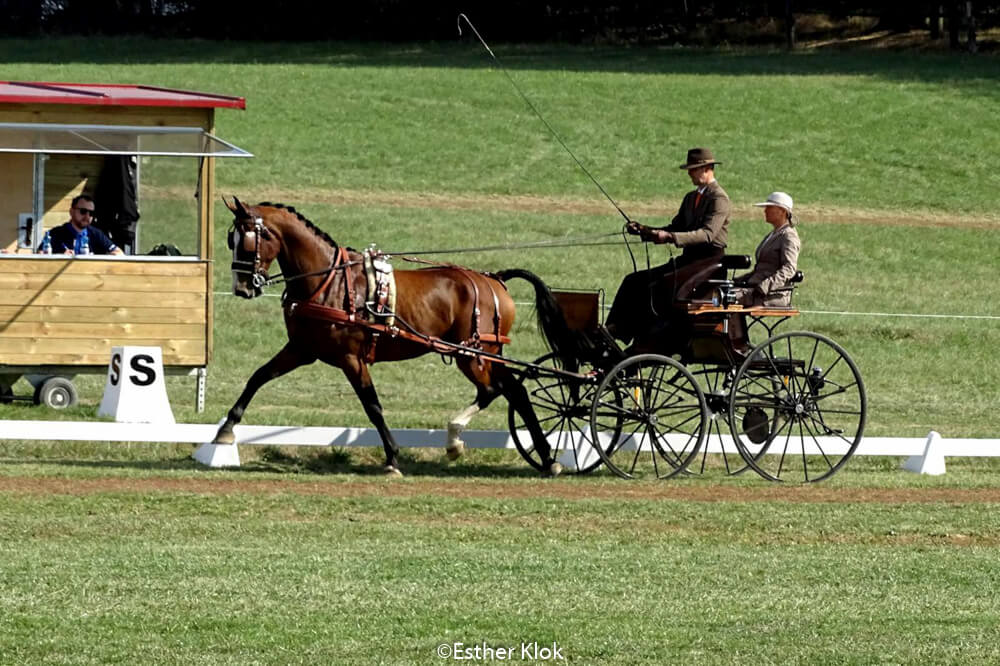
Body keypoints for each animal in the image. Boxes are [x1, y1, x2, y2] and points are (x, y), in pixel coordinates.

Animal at [218, 200, 580, 474]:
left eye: (247, 240)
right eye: (229, 240)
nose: (242, 287)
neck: (328, 283)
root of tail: (495, 279)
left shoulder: (351, 359)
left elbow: (372, 406)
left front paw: (392, 456)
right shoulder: (302, 349)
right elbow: (257, 377)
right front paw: (225, 430)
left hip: (474, 354)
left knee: (501, 390)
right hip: (482, 355)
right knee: (512, 390)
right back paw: (535, 455)